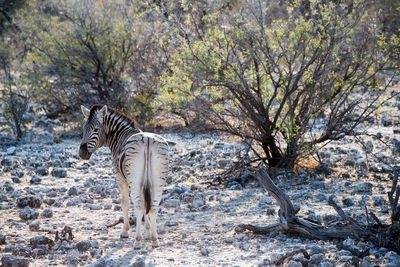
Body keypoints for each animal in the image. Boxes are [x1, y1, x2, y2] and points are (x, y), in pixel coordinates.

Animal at [78, 104, 169, 247]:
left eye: (96, 129)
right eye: (84, 129)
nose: (81, 153)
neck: (121, 136)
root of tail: (148, 140)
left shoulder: (121, 178)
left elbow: (125, 204)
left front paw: (125, 231)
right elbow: (145, 205)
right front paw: (148, 232)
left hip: (135, 179)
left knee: (138, 206)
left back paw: (137, 240)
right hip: (158, 179)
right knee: (153, 206)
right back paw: (155, 240)